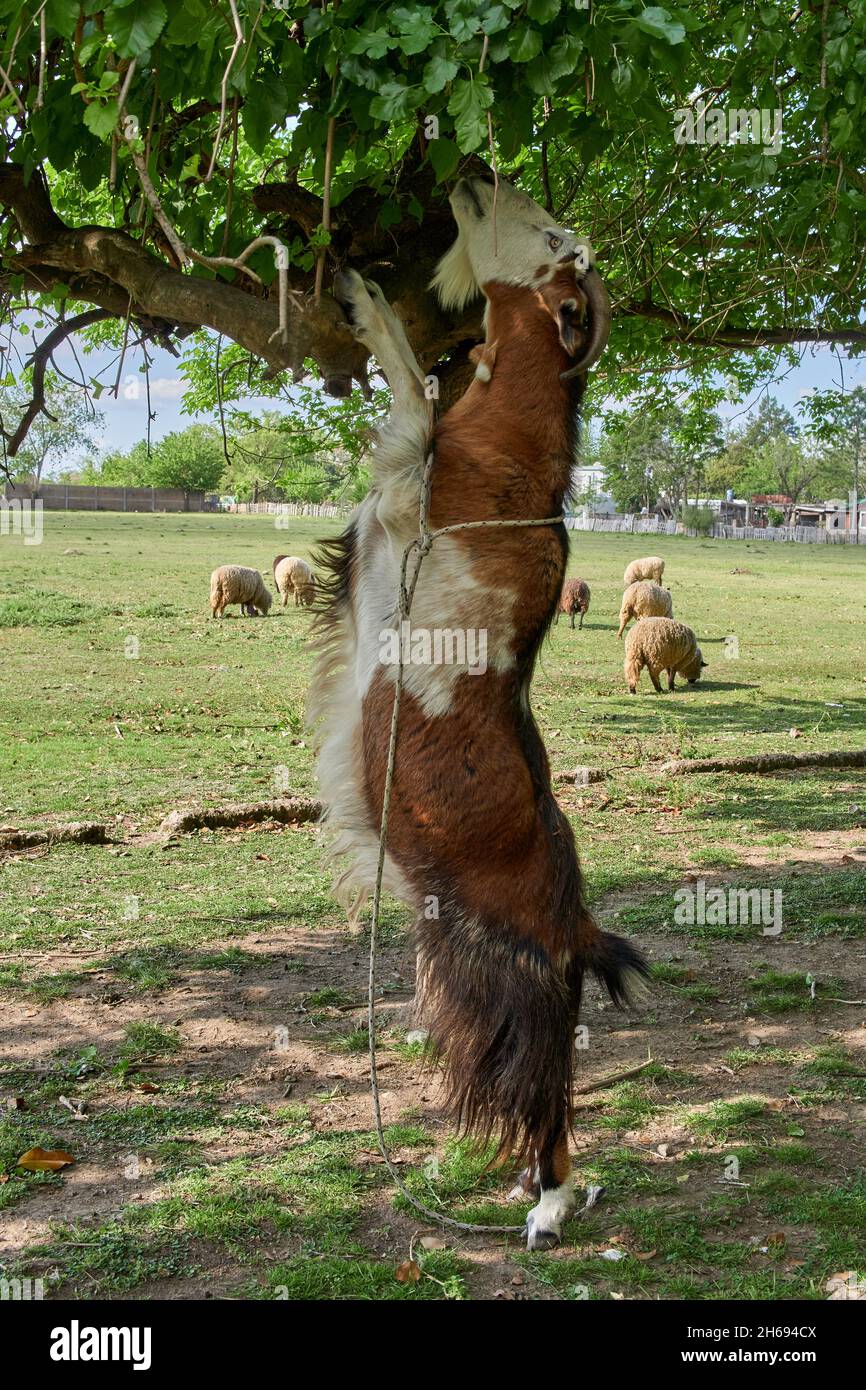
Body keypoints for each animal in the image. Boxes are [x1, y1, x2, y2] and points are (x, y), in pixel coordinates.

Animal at [310, 175, 648, 1251]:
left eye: (547, 232)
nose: (472, 175)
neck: (506, 447)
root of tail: (576, 926)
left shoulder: (408, 494)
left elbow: (412, 391)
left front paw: (364, 295)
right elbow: (417, 392)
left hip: (509, 981)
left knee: (545, 1099)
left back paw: (545, 1204)